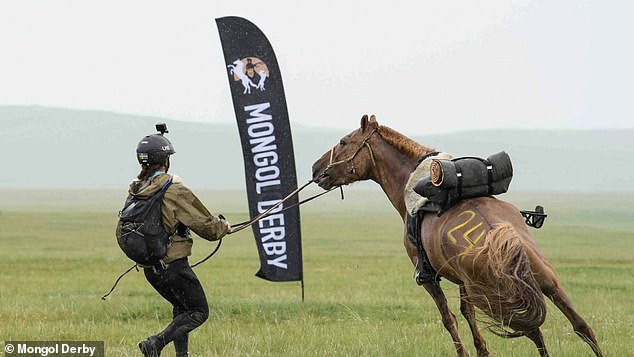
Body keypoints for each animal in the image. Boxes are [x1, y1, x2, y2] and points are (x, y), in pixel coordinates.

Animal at [312, 114, 604, 356]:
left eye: (344, 141)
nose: (316, 169)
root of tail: (499, 237)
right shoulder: (462, 281)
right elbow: (467, 314)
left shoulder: (430, 279)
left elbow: (449, 318)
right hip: (545, 282)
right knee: (579, 327)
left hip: (497, 296)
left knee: (534, 331)